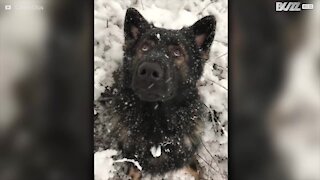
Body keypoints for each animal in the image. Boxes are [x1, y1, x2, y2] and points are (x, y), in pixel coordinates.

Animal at [99, 7, 216, 179]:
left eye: (177, 52)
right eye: (145, 47)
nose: (149, 71)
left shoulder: (188, 156)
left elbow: (200, 172)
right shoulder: (134, 164)